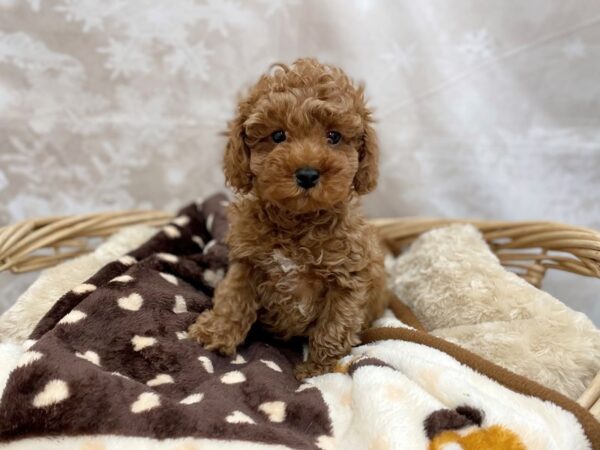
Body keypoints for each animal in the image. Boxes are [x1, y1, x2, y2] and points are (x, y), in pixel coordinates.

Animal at [190, 57, 392, 380]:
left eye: (334, 136)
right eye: (277, 136)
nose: (307, 174)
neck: (297, 222)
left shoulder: (347, 280)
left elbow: (334, 326)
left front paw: (318, 371)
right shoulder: (247, 262)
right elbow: (233, 298)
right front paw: (215, 333)